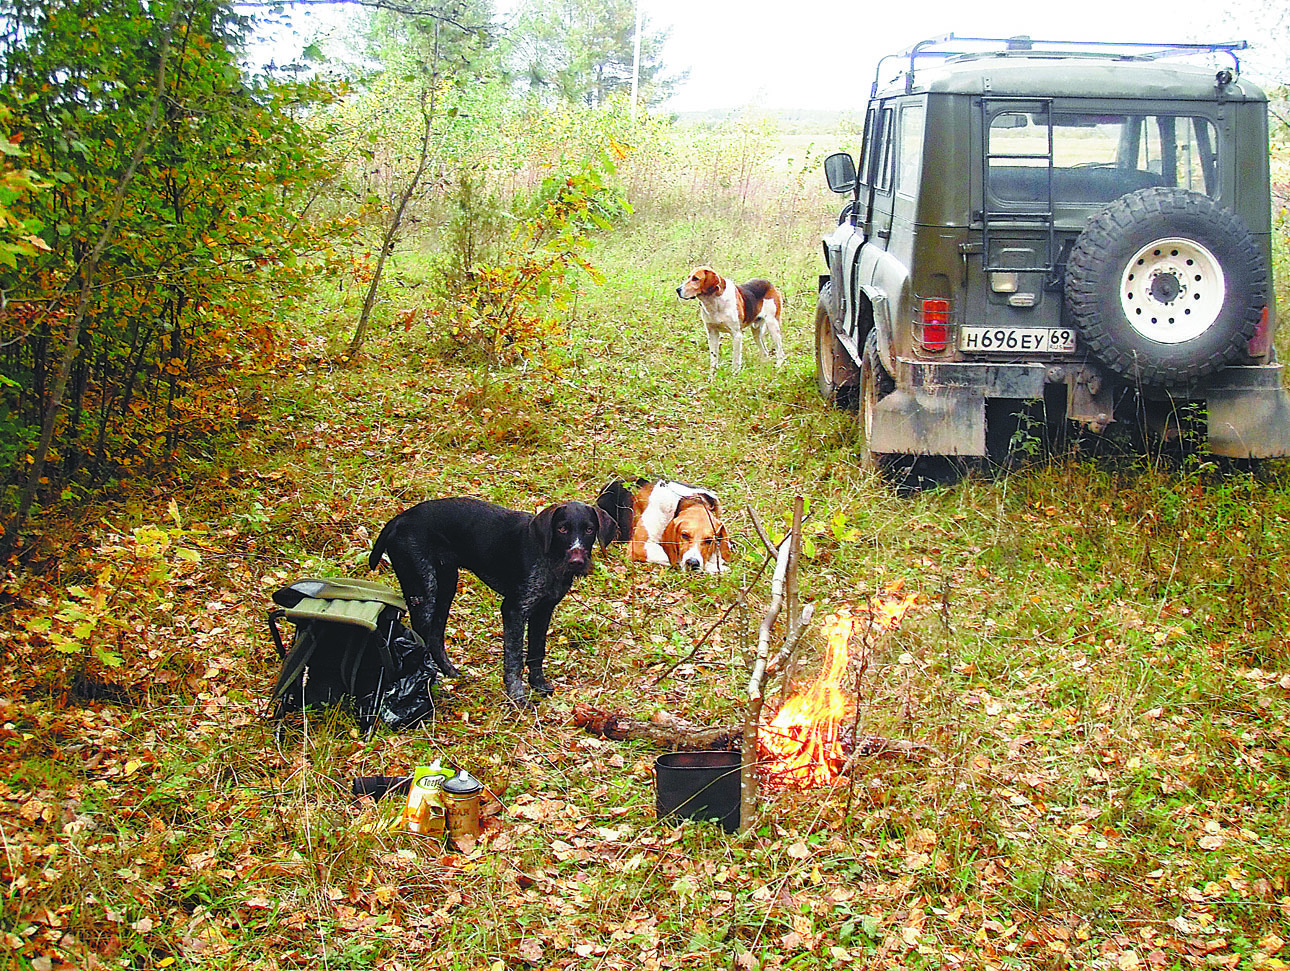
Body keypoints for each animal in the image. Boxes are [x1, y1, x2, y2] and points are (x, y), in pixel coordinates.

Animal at [368, 495, 614, 706]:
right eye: (562, 528)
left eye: (589, 529)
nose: (577, 561)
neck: (550, 558)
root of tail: (399, 520)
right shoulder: (514, 609)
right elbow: (514, 660)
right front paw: (517, 698)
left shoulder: (543, 610)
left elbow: (536, 652)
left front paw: (538, 685)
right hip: (423, 591)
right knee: (423, 638)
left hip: (444, 587)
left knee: (435, 637)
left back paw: (450, 673)